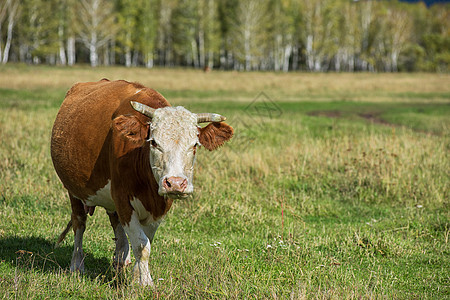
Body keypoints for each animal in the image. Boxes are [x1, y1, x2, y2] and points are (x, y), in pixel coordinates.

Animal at [52, 79, 234, 286]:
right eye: (153, 142)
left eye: (195, 145)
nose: (175, 183)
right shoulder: (123, 198)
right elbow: (141, 244)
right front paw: (144, 282)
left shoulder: (159, 207)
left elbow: (146, 241)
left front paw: (137, 276)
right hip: (74, 191)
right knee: (79, 224)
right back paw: (77, 265)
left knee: (115, 225)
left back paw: (121, 259)